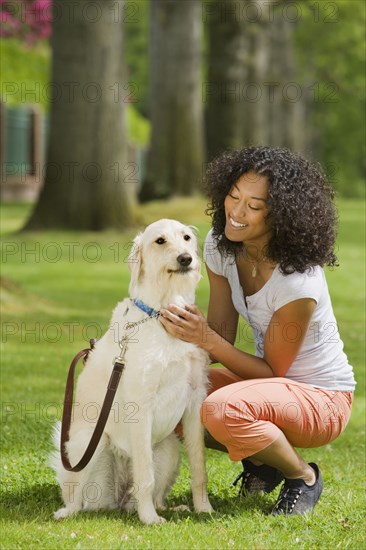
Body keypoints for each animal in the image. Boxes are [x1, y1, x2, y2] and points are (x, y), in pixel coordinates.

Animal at [51, 219, 212, 528]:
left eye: (186, 238)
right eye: (160, 241)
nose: (186, 258)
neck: (161, 314)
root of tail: (118, 500)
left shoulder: (195, 400)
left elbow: (199, 469)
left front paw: (204, 509)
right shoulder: (141, 404)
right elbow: (145, 475)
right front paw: (148, 519)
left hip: (170, 447)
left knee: (146, 494)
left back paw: (169, 508)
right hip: (90, 443)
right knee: (78, 496)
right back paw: (70, 511)